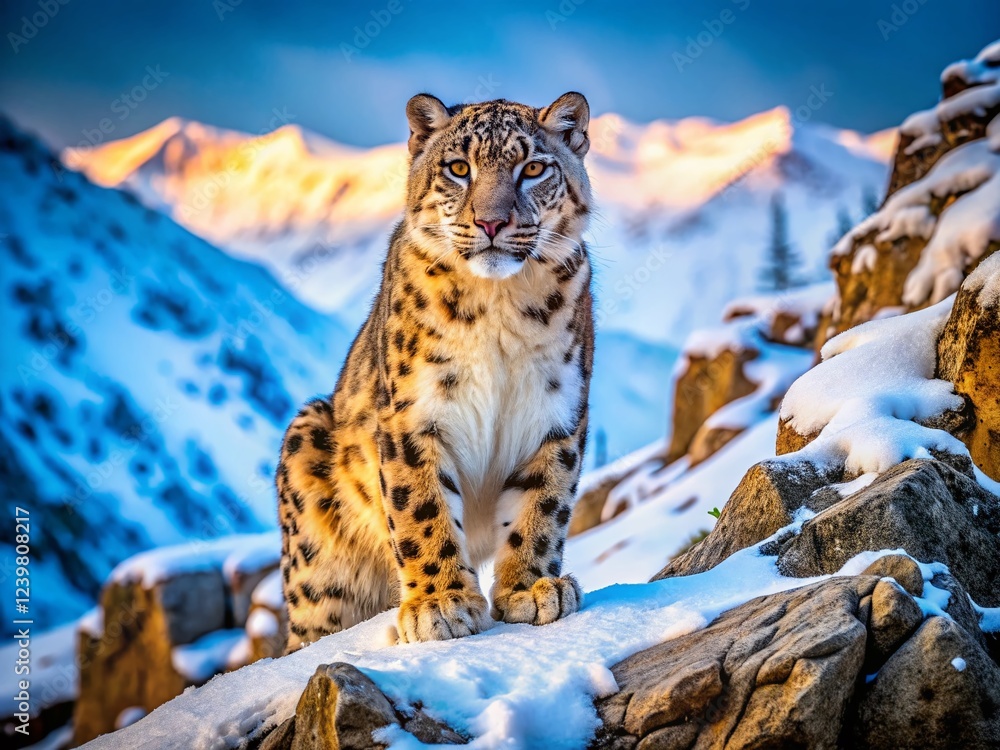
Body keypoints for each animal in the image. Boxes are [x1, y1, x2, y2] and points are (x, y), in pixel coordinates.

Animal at [277, 91, 595, 650]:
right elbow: (422, 506)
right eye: (458, 168)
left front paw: (532, 590)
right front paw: (441, 604)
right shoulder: (414, 415)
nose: (492, 223)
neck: (499, 307)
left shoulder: (557, 413)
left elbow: (543, 503)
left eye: (533, 168)